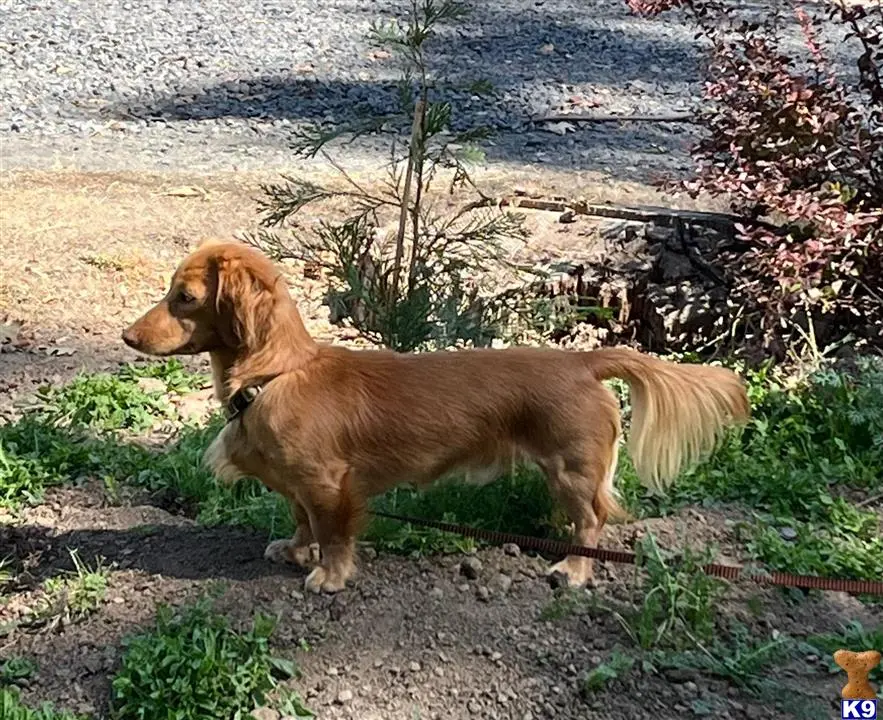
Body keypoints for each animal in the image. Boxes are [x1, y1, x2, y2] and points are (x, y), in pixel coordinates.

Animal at [121, 239, 748, 592]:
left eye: (185, 297)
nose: (127, 336)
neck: (276, 375)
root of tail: (582, 359)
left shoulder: (329, 485)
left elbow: (333, 532)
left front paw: (329, 576)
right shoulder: (298, 485)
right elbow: (301, 520)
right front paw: (297, 552)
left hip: (570, 469)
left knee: (592, 521)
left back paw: (573, 569)